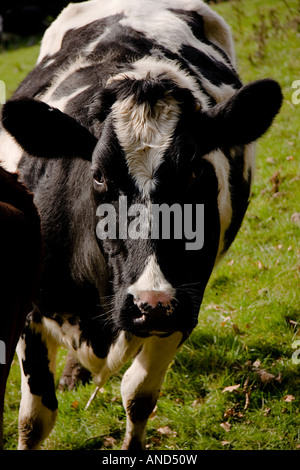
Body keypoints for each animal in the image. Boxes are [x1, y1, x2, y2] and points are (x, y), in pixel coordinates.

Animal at [0, 0, 282, 450]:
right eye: (98, 175)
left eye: (196, 170)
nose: (150, 302)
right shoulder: (30, 306)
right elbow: (34, 419)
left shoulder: (182, 304)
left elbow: (138, 396)